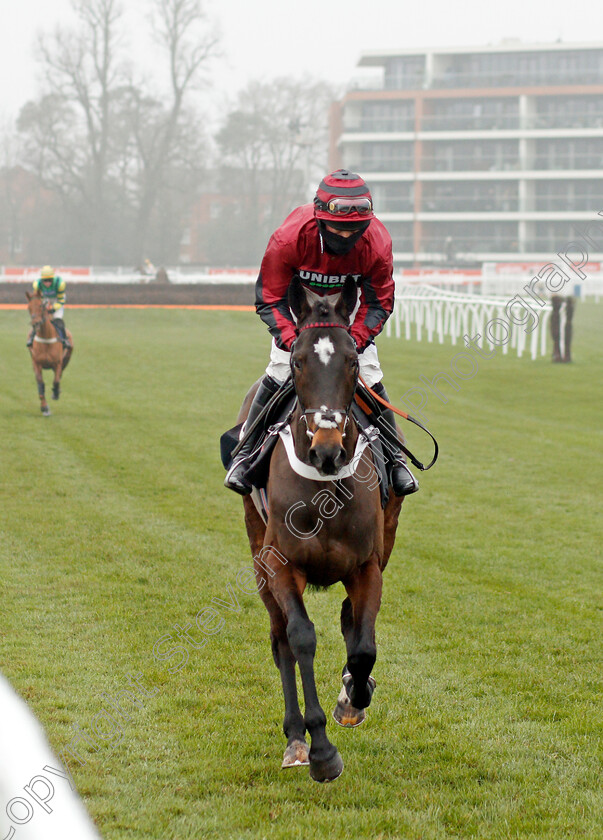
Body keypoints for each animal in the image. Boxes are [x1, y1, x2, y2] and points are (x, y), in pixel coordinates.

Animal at [238, 278, 404, 780]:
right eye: (297, 361)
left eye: (351, 361)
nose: (327, 449)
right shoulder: (280, 565)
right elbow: (300, 638)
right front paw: (321, 750)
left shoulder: (368, 565)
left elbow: (363, 645)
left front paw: (354, 697)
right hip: (256, 549)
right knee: (280, 639)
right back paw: (295, 739)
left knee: (352, 621)